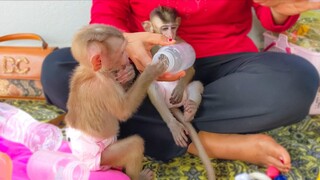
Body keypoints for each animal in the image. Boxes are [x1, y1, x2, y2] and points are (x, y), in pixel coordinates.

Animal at [64, 23, 166, 180]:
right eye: (122, 51)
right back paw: (139, 176)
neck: (94, 72)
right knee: (134, 145)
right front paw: (151, 71)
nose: (127, 57)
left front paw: (128, 74)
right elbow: (123, 111)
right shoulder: (105, 86)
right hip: (100, 159)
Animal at [142, 5, 215, 180]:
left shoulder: (181, 41)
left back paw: (190, 109)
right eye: (164, 28)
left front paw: (179, 87)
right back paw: (173, 124)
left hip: (186, 96)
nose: (170, 36)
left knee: (196, 84)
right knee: (153, 88)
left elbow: (191, 68)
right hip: (163, 99)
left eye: (173, 27)